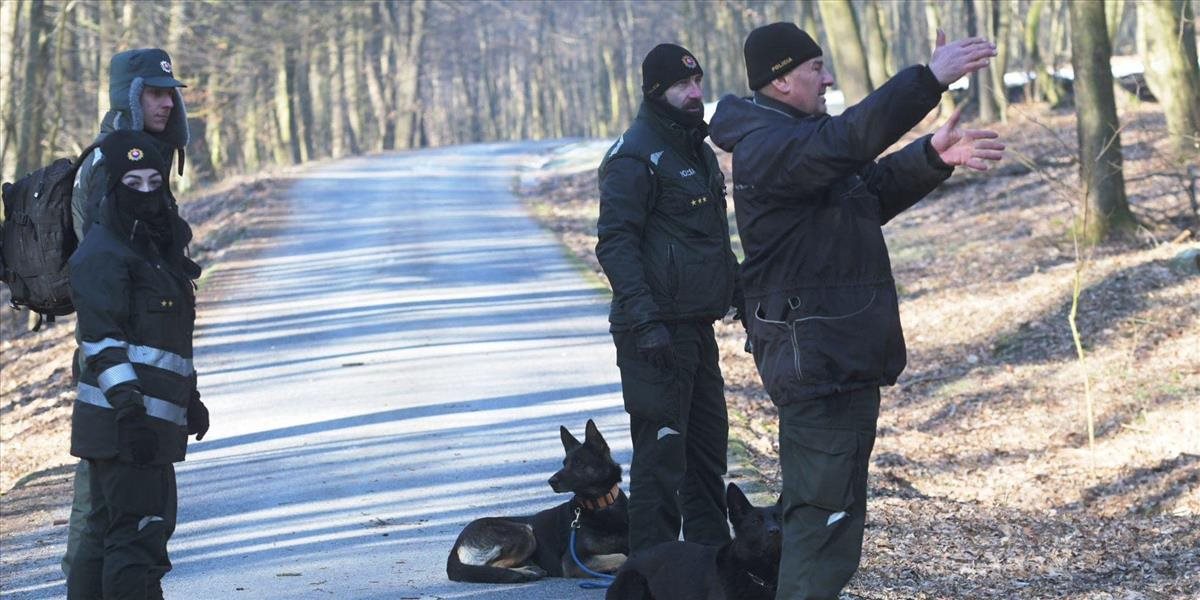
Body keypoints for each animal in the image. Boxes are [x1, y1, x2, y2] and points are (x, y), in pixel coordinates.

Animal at [444, 420, 628, 583]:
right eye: (564, 463)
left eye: (578, 462)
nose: (551, 481)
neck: (600, 504)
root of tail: (456, 545)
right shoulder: (573, 562)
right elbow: (621, 556)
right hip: (524, 532)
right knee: (491, 567)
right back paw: (526, 572)